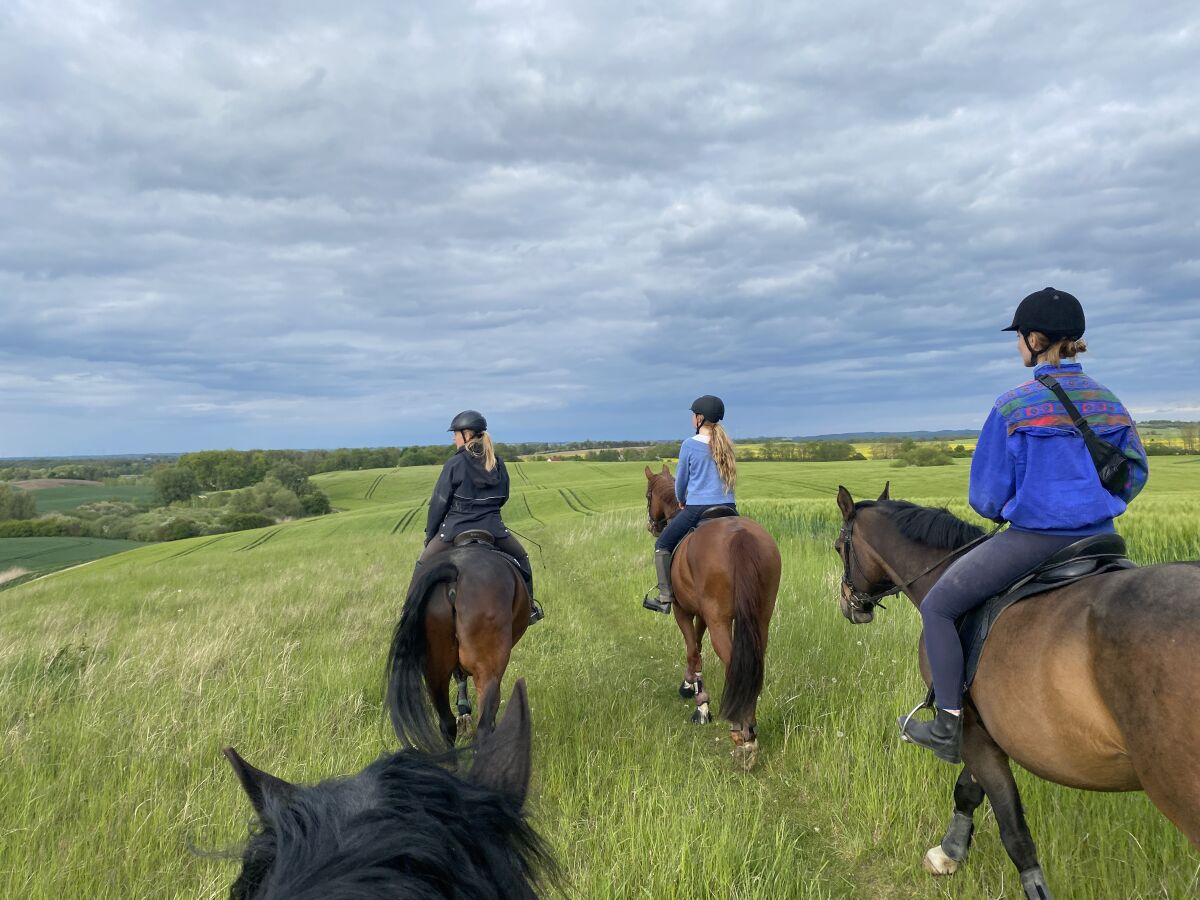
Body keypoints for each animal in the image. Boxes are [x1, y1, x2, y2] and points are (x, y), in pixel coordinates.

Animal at [388, 542, 530, 753]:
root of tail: (453, 570)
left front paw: (463, 710)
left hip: (434, 672)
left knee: (446, 723)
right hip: (488, 670)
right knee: (483, 727)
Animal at [643, 468, 782, 772]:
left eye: (648, 495)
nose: (652, 526)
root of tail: (740, 536)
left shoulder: (683, 610)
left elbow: (692, 650)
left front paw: (700, 704)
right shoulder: (703, 614)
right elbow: (697, 644)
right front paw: (690, 686)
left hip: (720, 621)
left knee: (733, 663)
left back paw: (742, 735)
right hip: (759, 619)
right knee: (753, 665)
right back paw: (749, 729)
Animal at [835, 487, 1200, 900]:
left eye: (838, 547)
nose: (849, 604)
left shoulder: (970, 728)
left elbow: (1014, 832)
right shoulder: (989, 727)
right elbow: (968, 791)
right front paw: (949, 852)